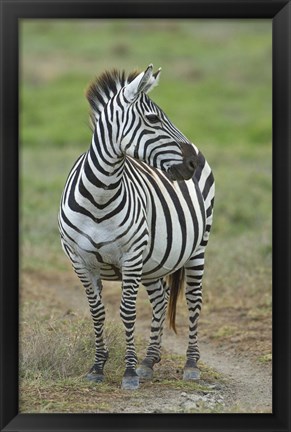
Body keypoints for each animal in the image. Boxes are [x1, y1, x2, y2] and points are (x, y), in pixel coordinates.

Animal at [58, 65, 216, 392]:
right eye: (153, 119)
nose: (192, 163)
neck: (100, 195)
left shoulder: (130, 257)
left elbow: (127, 312)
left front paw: (128, 372)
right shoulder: (81, 261)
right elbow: (97, 312)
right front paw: (98, 367)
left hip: (198, 247)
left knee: (193, 299)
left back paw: (191, 364)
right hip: (154, 262)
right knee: (160, 298)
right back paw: (149, 360)